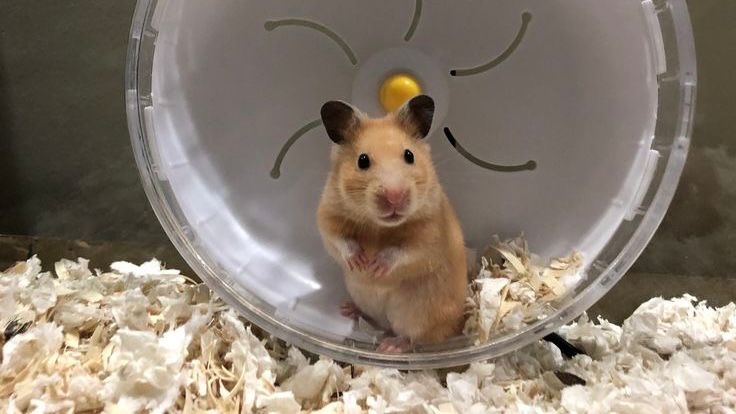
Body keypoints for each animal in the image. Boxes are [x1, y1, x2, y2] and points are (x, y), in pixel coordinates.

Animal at [316, 95, 467, 353]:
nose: (395, 197)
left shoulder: (429, 234)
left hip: (418, 316)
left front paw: (375, 267)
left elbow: (403, 251)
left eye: (409, 155)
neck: (379, 227)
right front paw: (359, 263)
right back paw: (347, 309)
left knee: (415, 338)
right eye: (362, 160)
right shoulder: (328, 216)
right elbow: (341, 240)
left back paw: (390, 347)